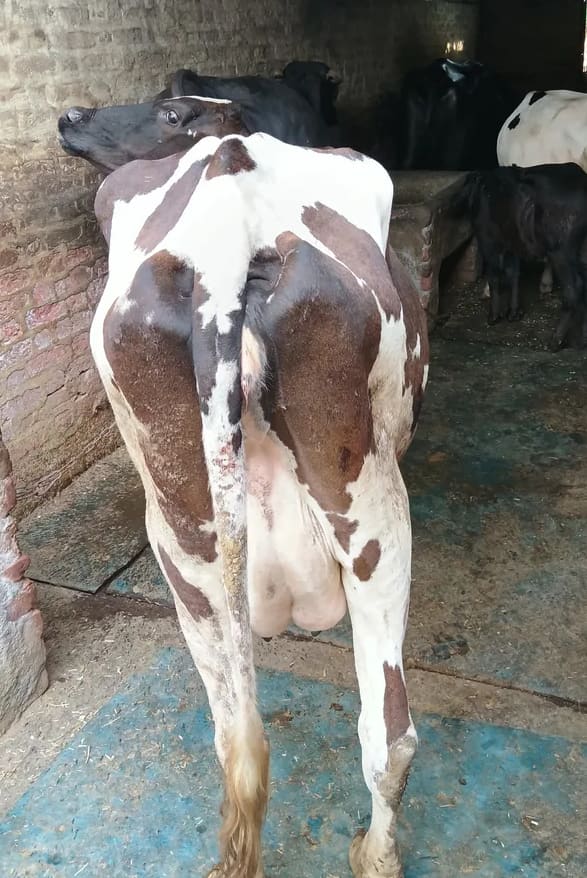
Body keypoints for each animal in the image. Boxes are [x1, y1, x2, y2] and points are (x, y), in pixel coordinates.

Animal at [453, 163, 587, 350]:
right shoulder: (512, 242)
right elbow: (514, 272)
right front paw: (514, 315)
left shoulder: (488, 239)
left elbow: (494, 274)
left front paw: (492, 318)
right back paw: (582, 341)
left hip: (560, 250)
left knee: (574, 289)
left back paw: (554, 342)